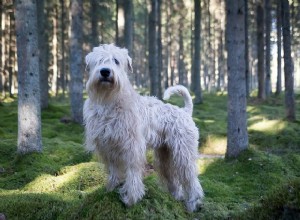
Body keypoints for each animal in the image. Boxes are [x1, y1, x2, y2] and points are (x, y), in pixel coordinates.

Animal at [83, 43, 203, 211]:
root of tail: (185, 111)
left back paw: (193, 203)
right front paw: (111, 188)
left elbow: (132, 173)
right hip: (165, 155)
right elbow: (113, 170)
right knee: (173, 178)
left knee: (191, 178)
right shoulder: (107, 146)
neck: (109, 101)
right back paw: (176, 197)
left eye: (116, 61)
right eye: (99, 60)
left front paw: (131, 198)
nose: (105, 71)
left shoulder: (131, 147)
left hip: (183, 153)